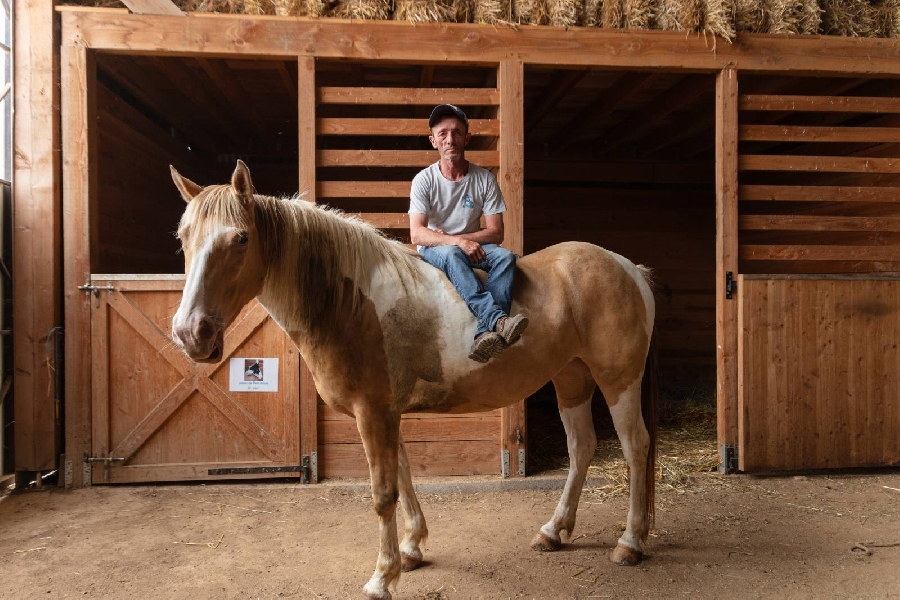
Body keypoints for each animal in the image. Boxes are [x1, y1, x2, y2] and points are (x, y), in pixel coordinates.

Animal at [171, 161, 660, 600]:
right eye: (183, 237)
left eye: (240, 237)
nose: (191, 333)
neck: (350, 302)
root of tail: (628, 268)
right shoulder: (387, 413)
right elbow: (404, 475)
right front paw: (411, 549)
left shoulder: (372, 413)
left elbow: (382, 493)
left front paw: (381, 577)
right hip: (571, 378)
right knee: (582, 448)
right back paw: (553, 531)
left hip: (618, 379)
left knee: (635, 446)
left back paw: (630, 543)